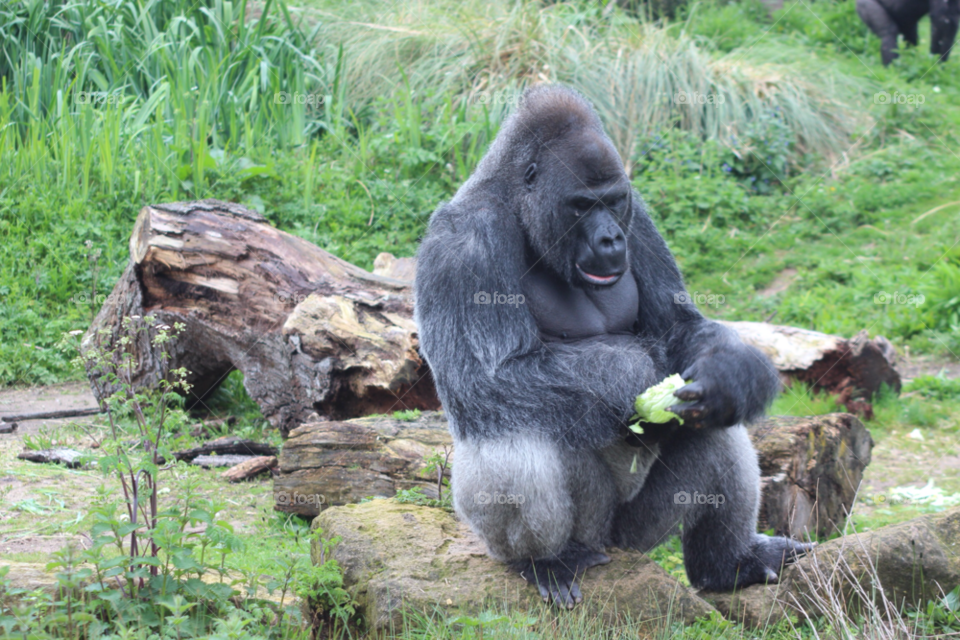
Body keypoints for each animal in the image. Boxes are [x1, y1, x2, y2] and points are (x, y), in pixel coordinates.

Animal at [414, 85, 812, 608]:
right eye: (582, 206)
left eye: (613, 201)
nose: (609, 239)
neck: (518, 208)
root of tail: (608, 545)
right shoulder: (463, 241)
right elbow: (492, 376)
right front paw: (641, 377)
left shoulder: (637, 214)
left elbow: (681, 327)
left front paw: (734, 373)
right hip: (590, 533)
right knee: (510, 431)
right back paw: (545, 561)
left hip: (634, 535)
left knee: (713, 426)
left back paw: (726, 563)